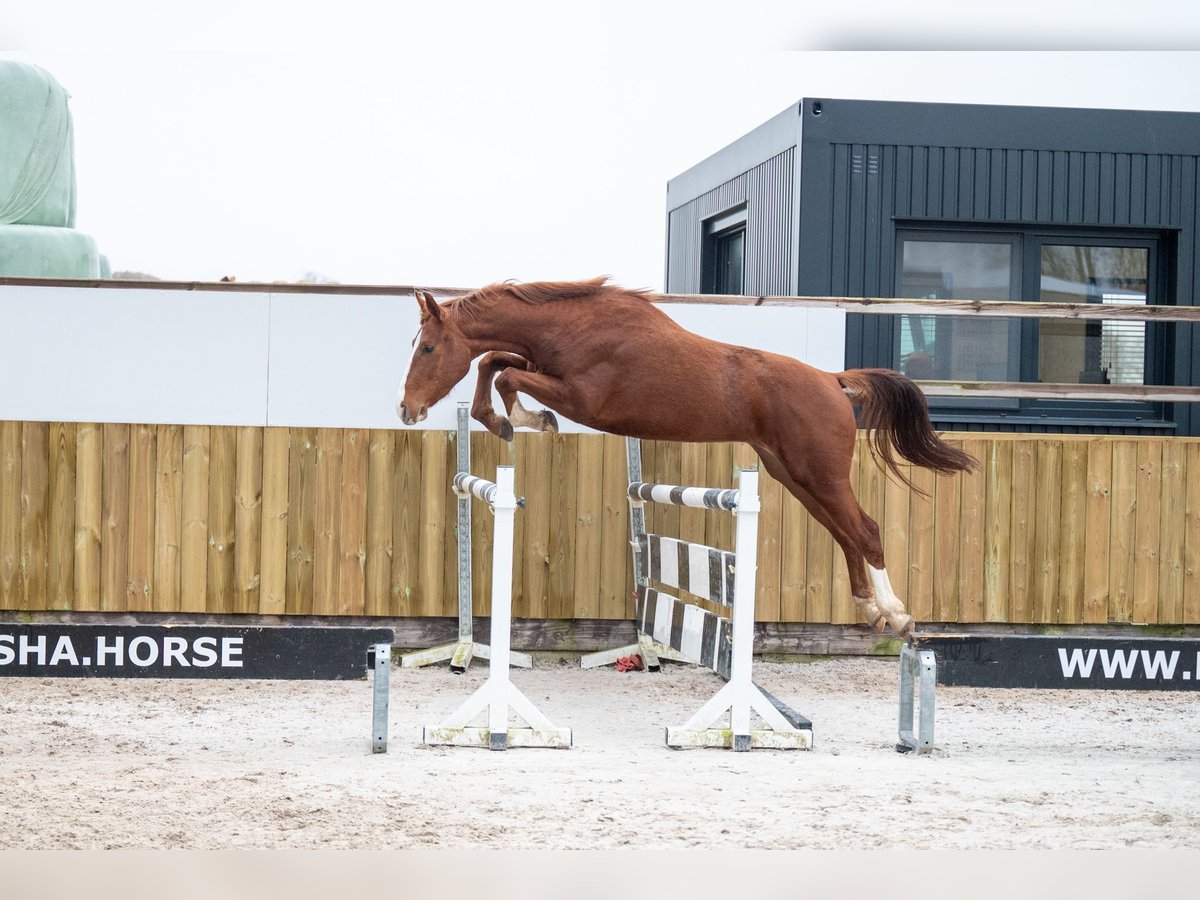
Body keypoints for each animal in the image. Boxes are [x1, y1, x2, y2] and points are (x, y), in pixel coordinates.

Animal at [398, 278, 979, 638]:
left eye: (427, 348)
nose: (407, 409)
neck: (573, 326)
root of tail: (833, 381)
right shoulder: (542, 369)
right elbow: (494, 362)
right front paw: (506, 420)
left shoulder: (582, 398)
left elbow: (504, 374)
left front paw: (524, 420)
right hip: (792, 474)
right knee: (845, 533)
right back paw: (870, 609)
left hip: (820, 472)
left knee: (867, 530)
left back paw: (897, 616)